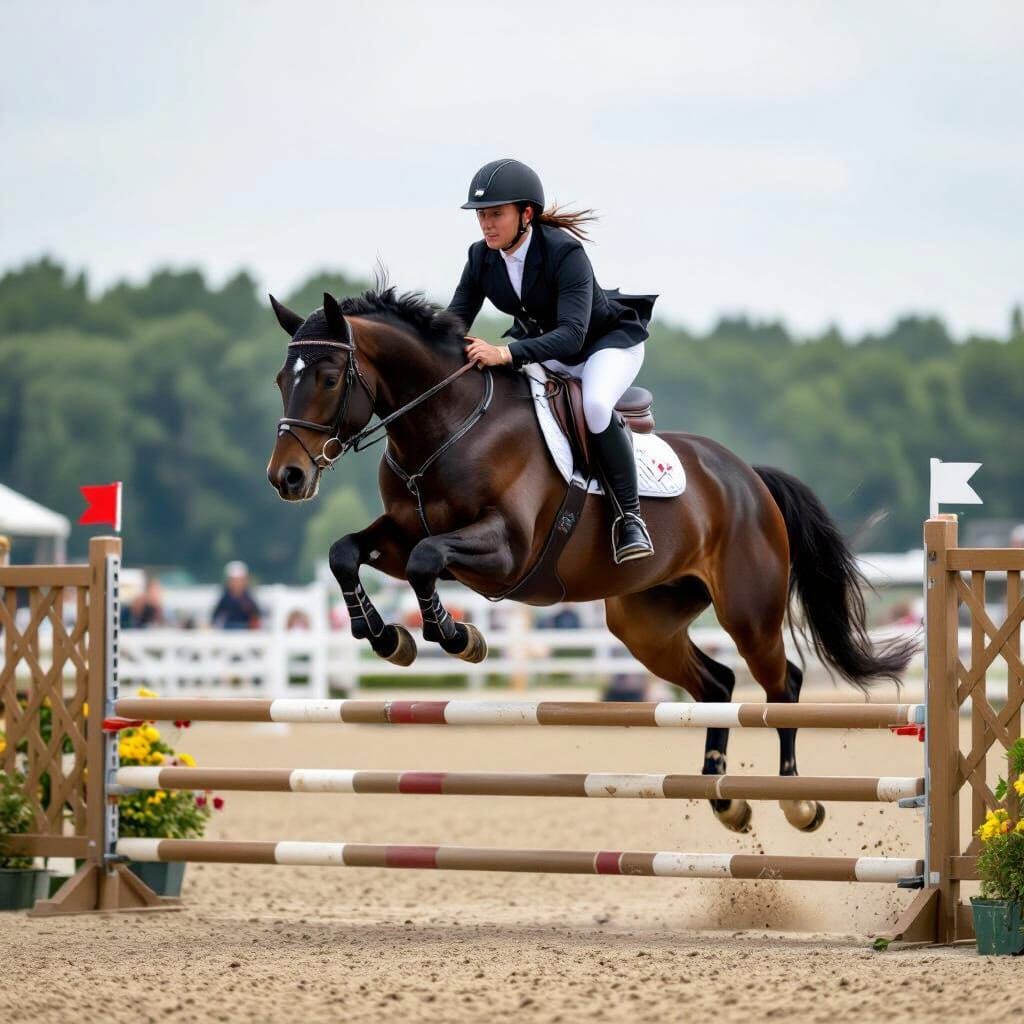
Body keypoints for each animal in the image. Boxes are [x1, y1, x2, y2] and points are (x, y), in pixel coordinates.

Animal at [266, 286, 914, 834]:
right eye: (280, 379)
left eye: (329, 377)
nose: (287, 478)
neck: (447, 427)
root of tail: (749, 478)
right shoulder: (400, 537)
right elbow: (346, 553)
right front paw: (384, 637)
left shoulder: (505, 551)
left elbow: (428, 559)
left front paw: (458, 637)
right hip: (644, 621)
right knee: (718, 681)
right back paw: (723, 798)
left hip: (748, 612)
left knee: (783, 684)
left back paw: (798, 801)